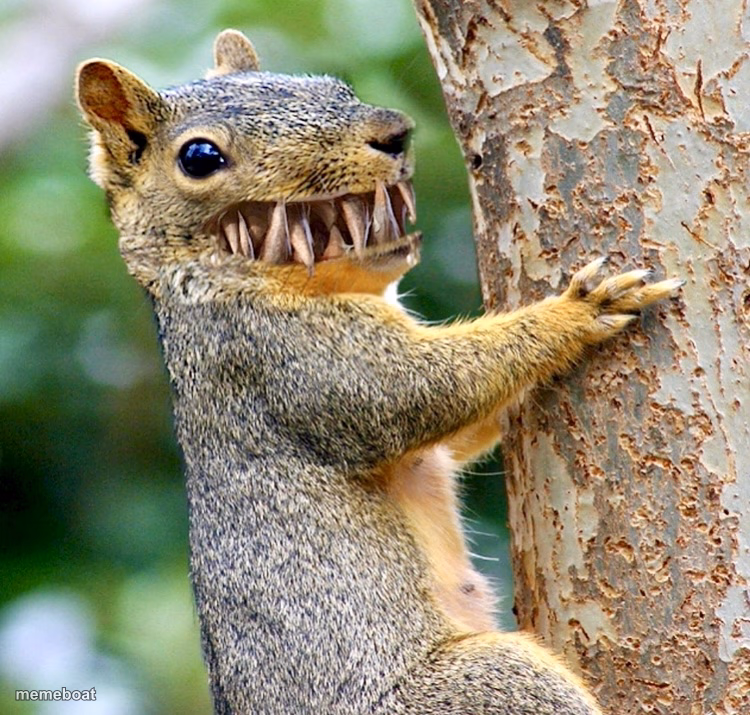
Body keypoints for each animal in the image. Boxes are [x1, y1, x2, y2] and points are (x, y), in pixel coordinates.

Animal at [76, 29, 682, 715]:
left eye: (332, 87)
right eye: (200, 157)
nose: (392, 132)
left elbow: (457, 433)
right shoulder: (284, 360)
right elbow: (414, 391)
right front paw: (576, 311)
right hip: (490, 682)